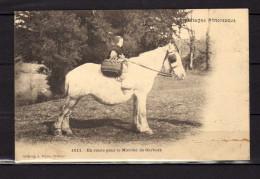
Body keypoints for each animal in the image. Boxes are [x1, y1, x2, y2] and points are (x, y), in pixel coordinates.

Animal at [52, 43, 186, 136]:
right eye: (173, 58)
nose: (182, 75)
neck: (143, 70)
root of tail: (70, 73)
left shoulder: (136, 96)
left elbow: (136, 111)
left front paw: (137, 128)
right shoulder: (142, 94)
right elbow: (142, 112)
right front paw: (147, 129)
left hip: (75, 98)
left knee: (67, 113)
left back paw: (67, 131)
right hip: (73, 98)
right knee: (63, 112)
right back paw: (57, 131)